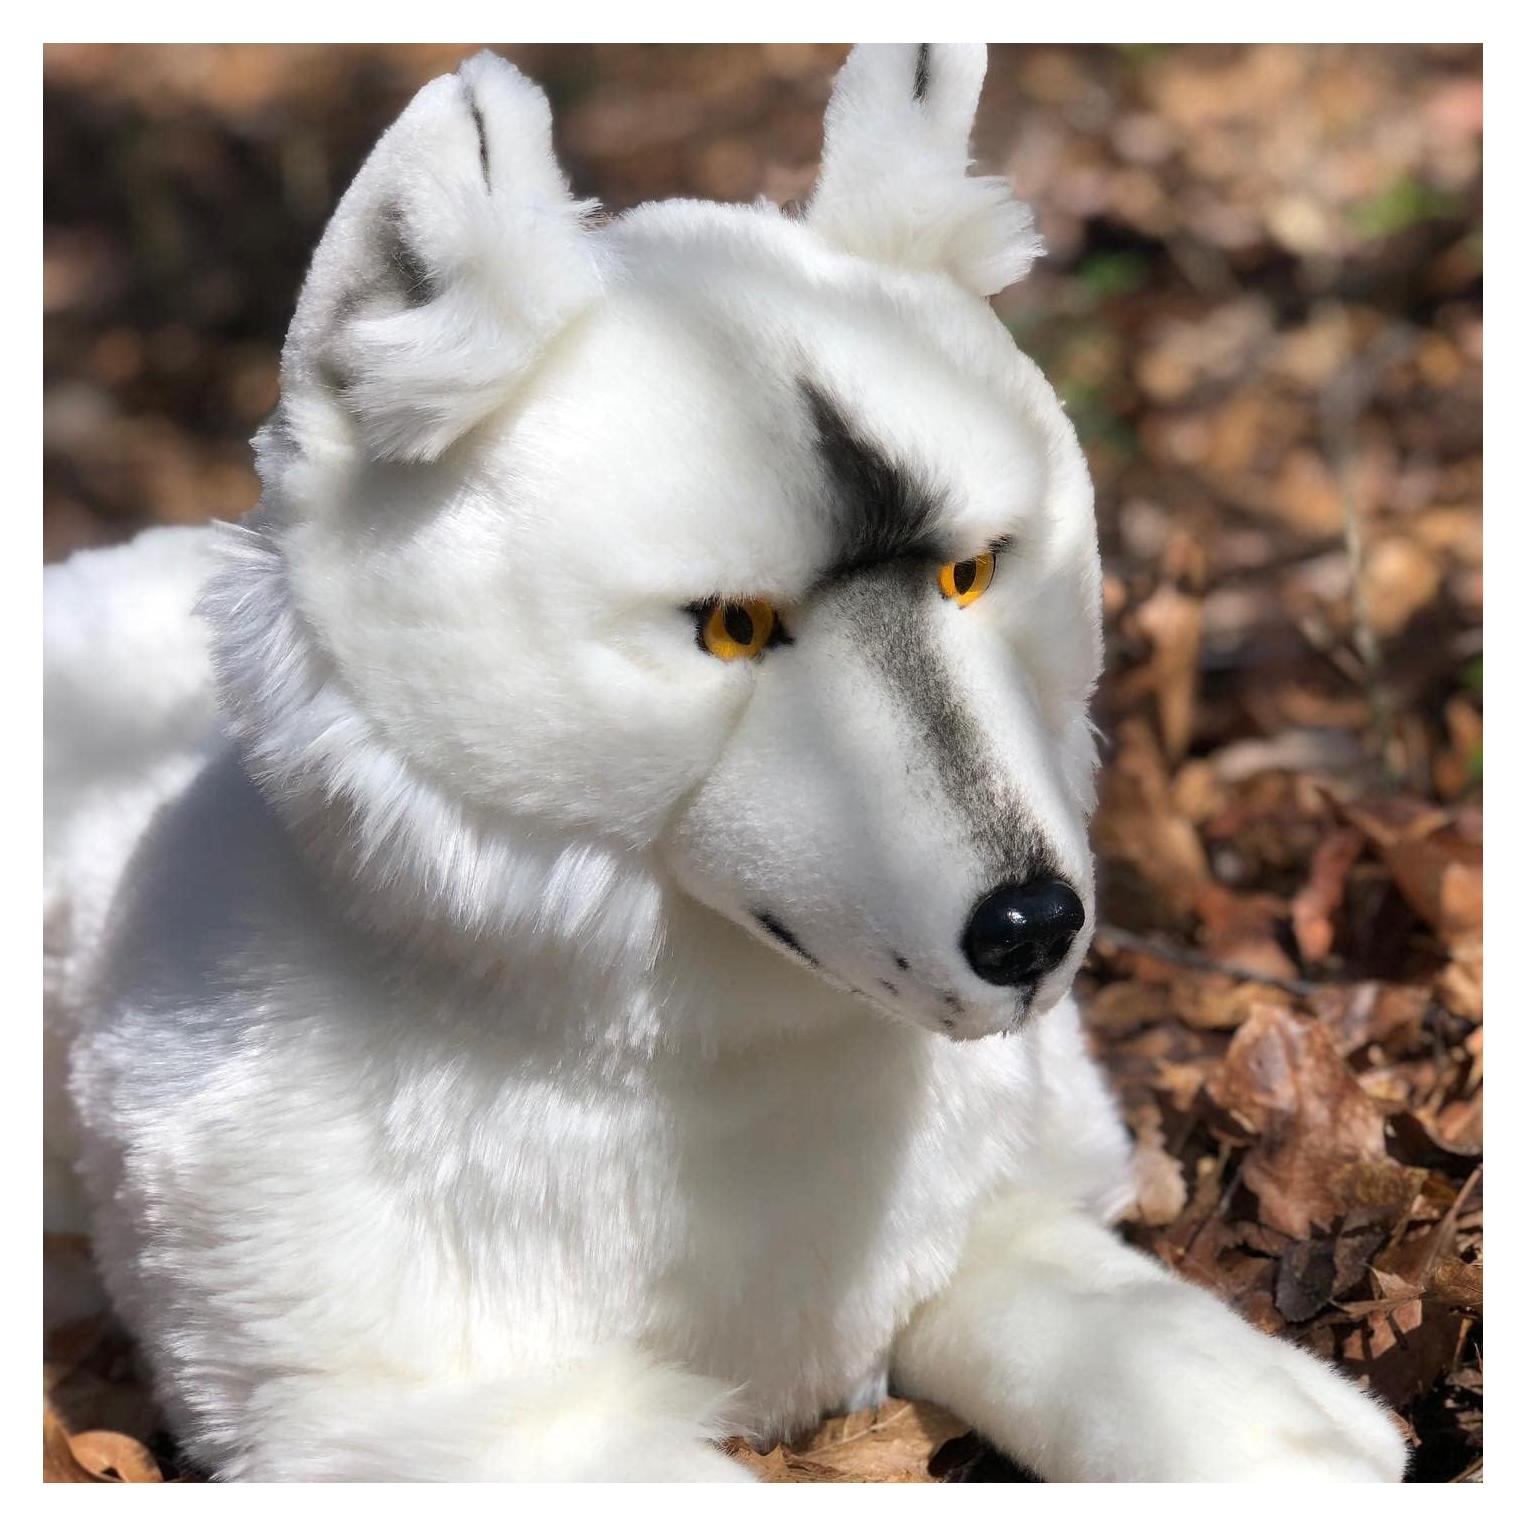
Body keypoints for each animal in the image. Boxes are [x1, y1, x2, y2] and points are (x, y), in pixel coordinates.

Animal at [43, 44, 1407, 1482]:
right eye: (730, 627)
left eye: (970, 573)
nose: (1032, 928)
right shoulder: (452, 1429)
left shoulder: (995, 1227)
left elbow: (1127, 1342)